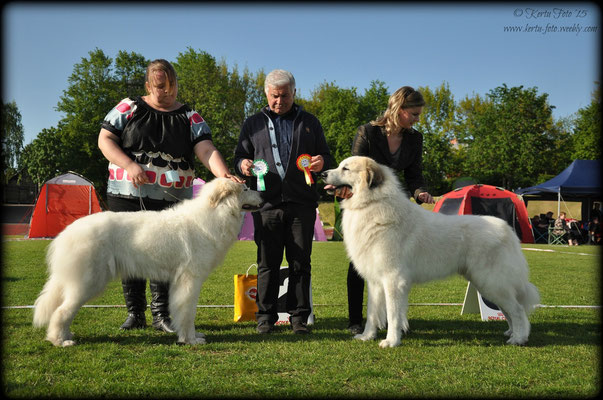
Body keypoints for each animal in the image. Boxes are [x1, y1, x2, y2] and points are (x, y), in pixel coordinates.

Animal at [33, 178, 260, 346]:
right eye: (246, 188)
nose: (263, 194)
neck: (215, 213)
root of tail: (67, 232)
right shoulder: (190, 280)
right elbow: (188, 312)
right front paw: (190, 340)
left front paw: (190, 336)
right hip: (89, 282)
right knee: (62, 311)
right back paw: (60, 340)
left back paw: (66, 336)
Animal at [324, 156, 540, 346]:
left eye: (345, 168)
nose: (324, 173)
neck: (371, 203)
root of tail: (507, 230)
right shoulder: (376, 281)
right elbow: (372, 313)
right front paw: (367, 336)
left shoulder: (393, 279)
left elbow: (393, 315)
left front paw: (391, 341)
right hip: (487, 283)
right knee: (510, 310)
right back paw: (511, 332)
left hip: (492, 282)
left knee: (518, 310)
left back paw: (519, 339)